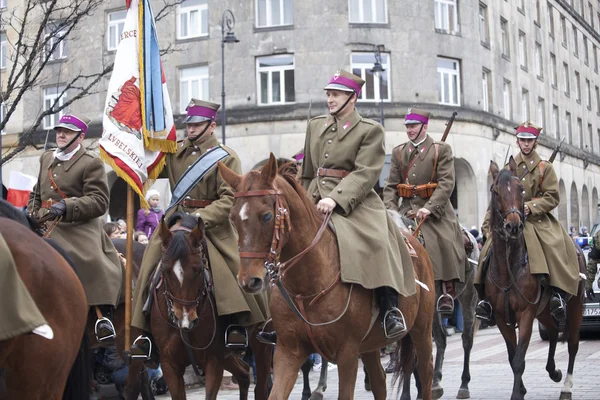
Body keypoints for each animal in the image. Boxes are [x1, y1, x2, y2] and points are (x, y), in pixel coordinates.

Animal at [126, 212, 274, 400]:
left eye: (197, 269)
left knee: (260, 386)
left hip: (261, 343)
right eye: (165, 270)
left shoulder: (213, 360)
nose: (185, 319)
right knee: (244, 374)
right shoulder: (169, 363)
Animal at [218, 154, 434, 400]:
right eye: (233, 218)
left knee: (425, 370)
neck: (307, 284)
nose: (248, 280)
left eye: (266, 216)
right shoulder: (287, 351)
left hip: (422, 330)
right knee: (379, 381)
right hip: (369, 346)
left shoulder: (347, 353)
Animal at [486, 159, 584, 400]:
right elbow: (512, 357)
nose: (513, 226)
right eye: (495, 191)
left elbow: (519, 360)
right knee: (553, 331)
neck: (509, 268)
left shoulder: (526, 314)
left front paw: (517, 394)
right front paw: (520, 389)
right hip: (544, 310)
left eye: (521, 189)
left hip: (575, 305)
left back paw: (566, 387)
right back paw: (553, 371)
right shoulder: (501, 317)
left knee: (573, 345)